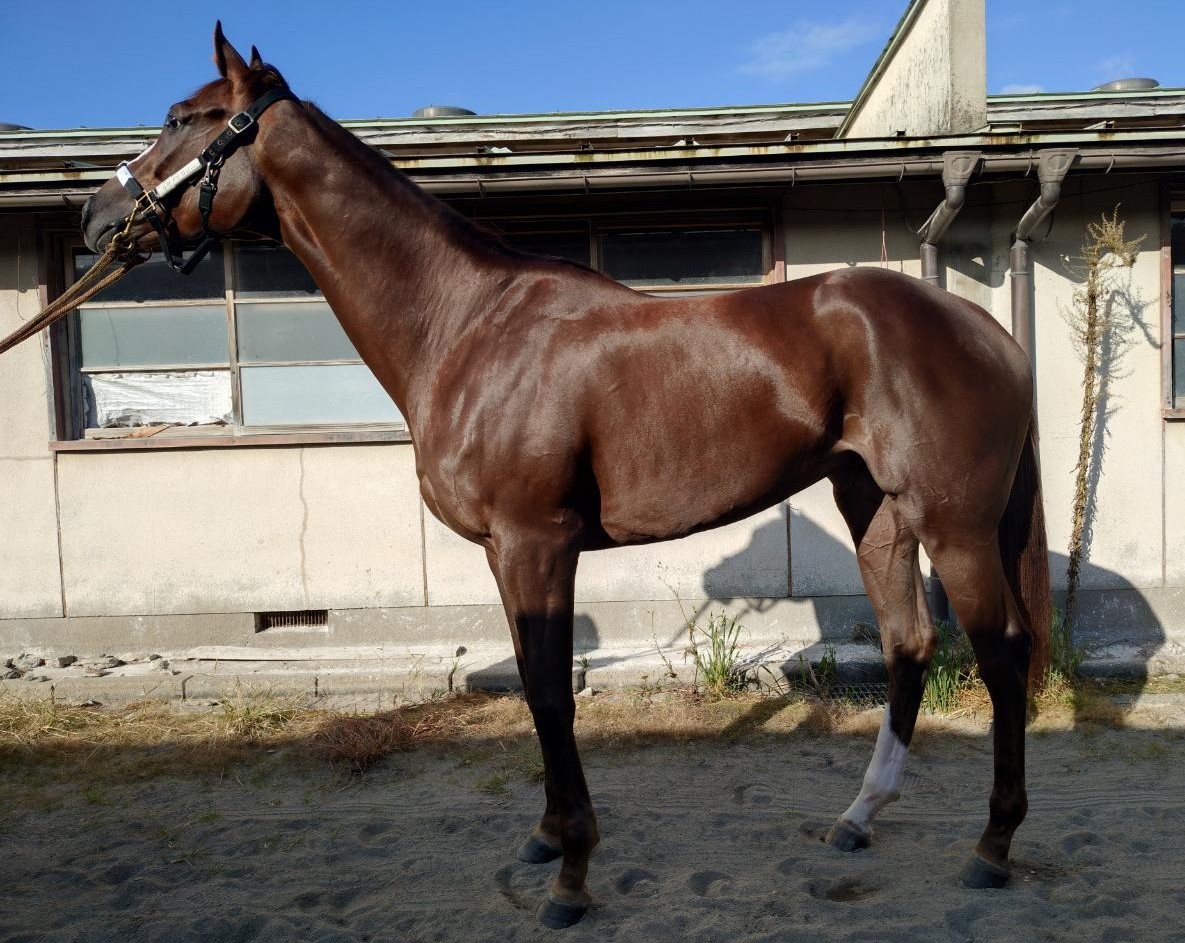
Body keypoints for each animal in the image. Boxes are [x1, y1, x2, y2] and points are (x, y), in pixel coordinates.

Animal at [80, 24, 1051, 929]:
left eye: (183, 118)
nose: (97, 215)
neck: (464, 324)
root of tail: (987, 332)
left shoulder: (535, 542)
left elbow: (550, 692)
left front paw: (572, 874)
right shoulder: (503, 553)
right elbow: (530, 679)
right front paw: (547, 835)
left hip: (954, 526)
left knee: (1000, 654)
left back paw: (992, 845)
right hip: (874, 509)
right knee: (907, 643)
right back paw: (857, 816)